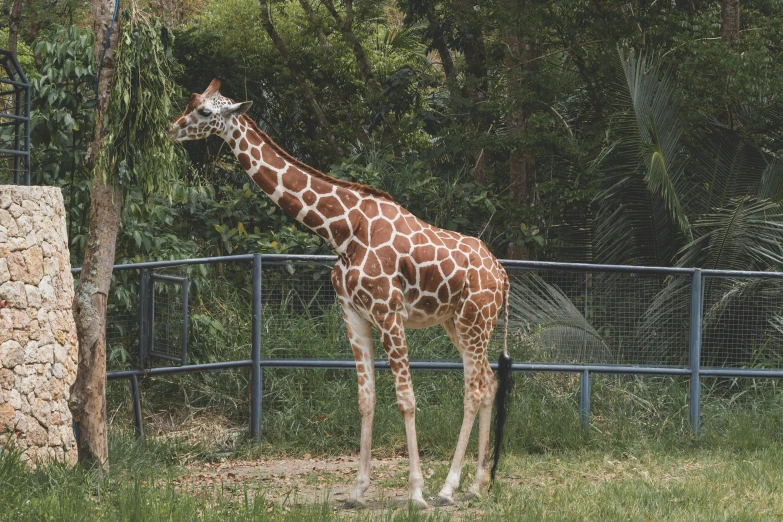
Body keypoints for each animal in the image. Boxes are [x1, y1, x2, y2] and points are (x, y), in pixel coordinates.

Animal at [170, 79, 516, 506]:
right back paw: (476, 483)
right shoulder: (353, 315)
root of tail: (502, 274)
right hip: (459, 323)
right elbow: (365, 400)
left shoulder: (388, 313)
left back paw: (448, 489)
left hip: (474, 321)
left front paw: (416, 492)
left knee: (475, 388)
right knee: (489, 384)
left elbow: (406, 399)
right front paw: (357, 489)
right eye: (190, 103)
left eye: (204, 112)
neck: (342, 231)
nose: (172, 128)